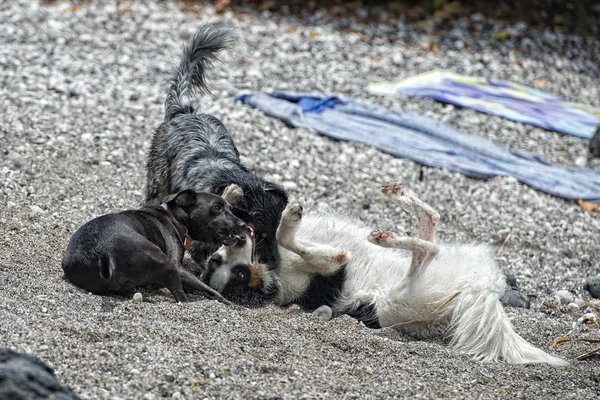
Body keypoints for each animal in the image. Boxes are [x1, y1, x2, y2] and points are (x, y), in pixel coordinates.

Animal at [61, 188, 246, 304]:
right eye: (217, 208)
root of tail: (103, 254)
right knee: (182, 298)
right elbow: (210, 290)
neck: (175, 217)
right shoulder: (178, 269)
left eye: (229, 208)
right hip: (166, 263)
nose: (244, 225)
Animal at [205, 184, 568, 366]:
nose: (238, 239)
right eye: (239, 277)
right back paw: (388, 237)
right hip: (398, 298)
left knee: (432, 223)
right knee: (426, 250)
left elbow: (283, 234)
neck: (269, 264)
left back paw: (399, 201)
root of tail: (480, 289)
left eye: (219, 260)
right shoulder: (329, 267)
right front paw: (292, 223)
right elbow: (294, 241)